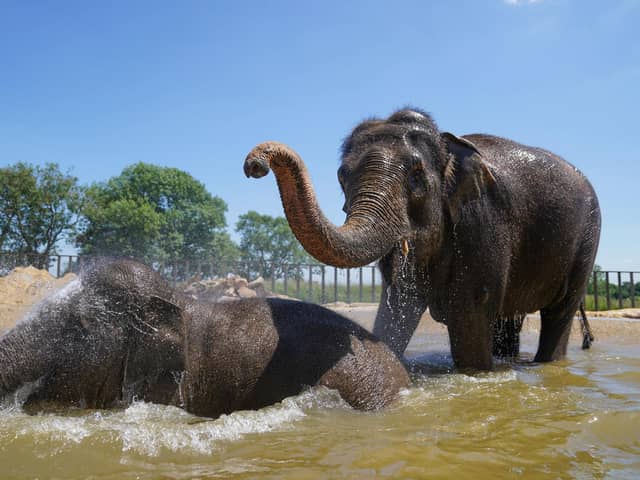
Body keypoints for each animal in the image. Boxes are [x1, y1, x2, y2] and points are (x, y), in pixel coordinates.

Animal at [244, 108, 601, 370]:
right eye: (343, 175)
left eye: (416, 177)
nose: (253, 165)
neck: (448, 146)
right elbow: (398, 306)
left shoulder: (482, 221)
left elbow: (470, 312)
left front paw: (475, 373)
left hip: (587, 239)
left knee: (559, 312)